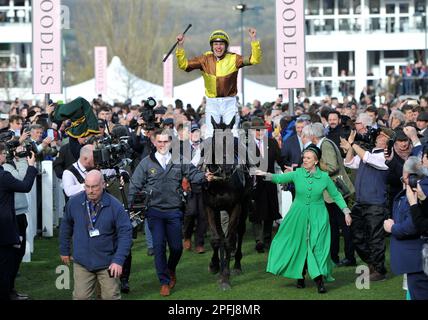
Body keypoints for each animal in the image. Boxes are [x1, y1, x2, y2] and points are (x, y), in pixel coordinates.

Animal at [201, 117, 252, 290]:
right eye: (214, 143)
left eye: (233, 143)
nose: (227, 169)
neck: (220, 183)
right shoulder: (210, 207)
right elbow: (216, 239)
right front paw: (214, 265)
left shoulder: (236, 206)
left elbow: (229, 240)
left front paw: (225, 278)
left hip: (245, 203)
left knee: (240, 231)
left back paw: (236, 265)